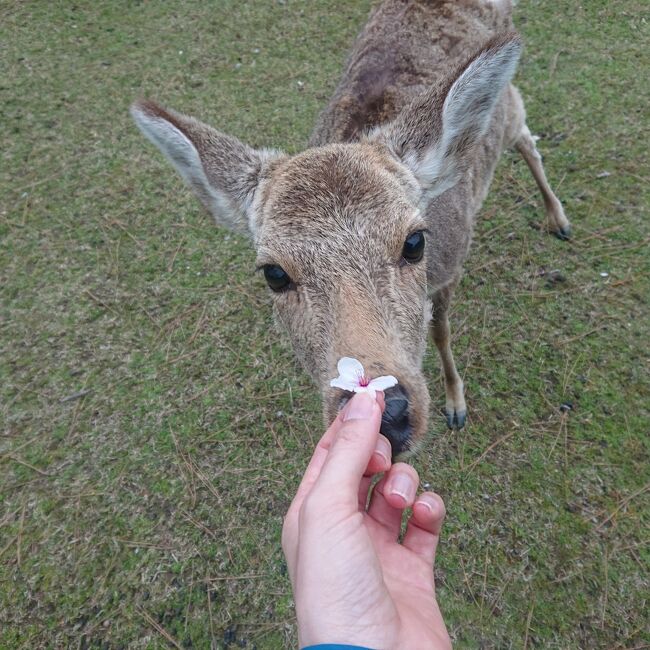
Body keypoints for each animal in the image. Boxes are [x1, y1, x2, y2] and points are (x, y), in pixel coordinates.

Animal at [130, 0, 568, 458]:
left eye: (414, 242)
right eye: (274, 274)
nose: (390, 413)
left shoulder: (451, 262)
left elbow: (441, 330)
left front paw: (456, 405)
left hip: (507, 108)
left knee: (525, 135)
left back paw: (558, 217)